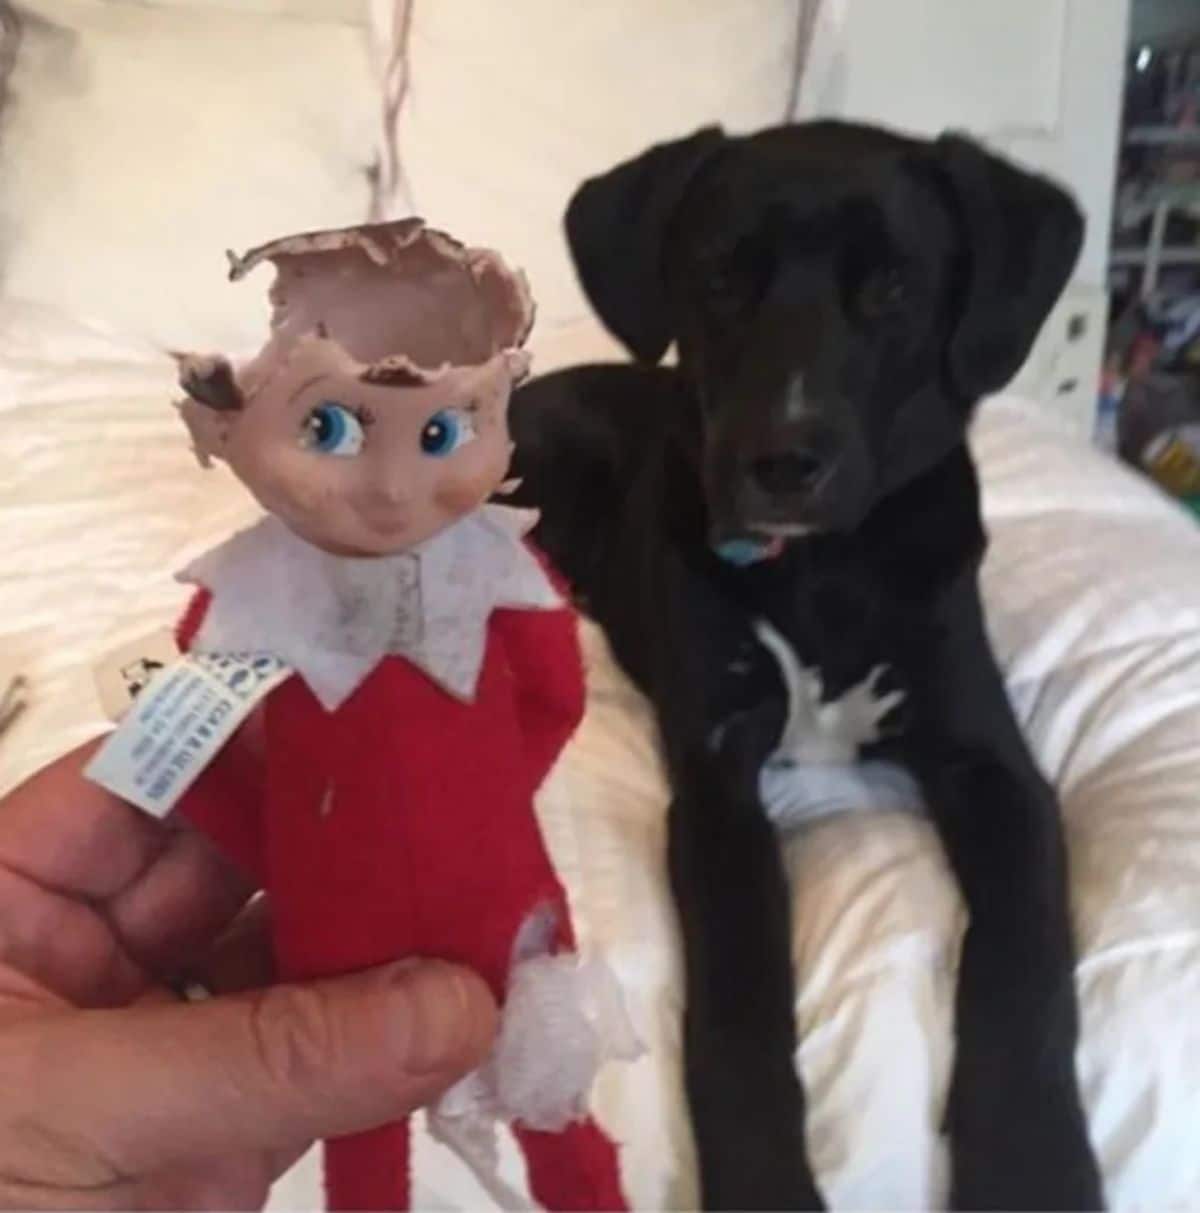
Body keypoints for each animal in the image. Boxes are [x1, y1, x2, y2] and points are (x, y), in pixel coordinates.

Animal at [504, 118, 1106, 1208]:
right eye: (719, 276)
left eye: (895, 289)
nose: (781, 463)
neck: (824, 571)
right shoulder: (717, 785)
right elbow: (740, 1002)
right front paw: (764, 1180)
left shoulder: (998, 769)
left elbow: (1024, 961)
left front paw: (1031, 1162)